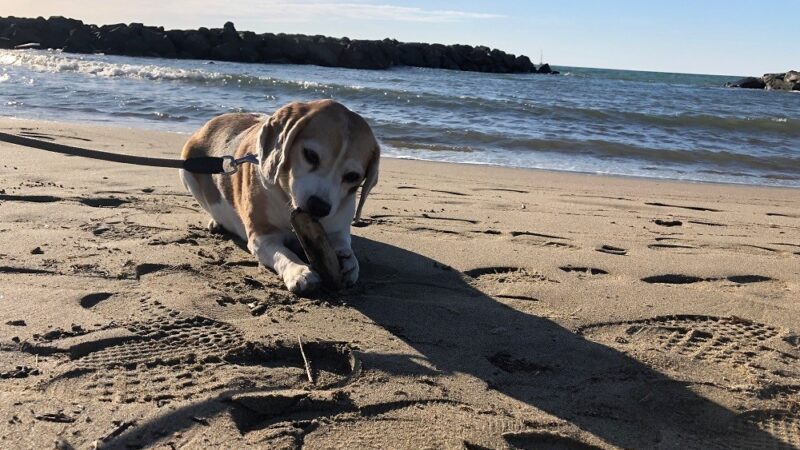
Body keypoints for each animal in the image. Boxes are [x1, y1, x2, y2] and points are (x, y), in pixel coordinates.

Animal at [180, 100, 380, 294]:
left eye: (352, 176)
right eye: (311, 155)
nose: (319, 207)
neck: (288, 200)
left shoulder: (338, 230)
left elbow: (344, 245)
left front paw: (349, 263)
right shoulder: (262, 237)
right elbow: (283, 254)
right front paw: (299, 271)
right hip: (187, 171)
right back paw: (217, 222)